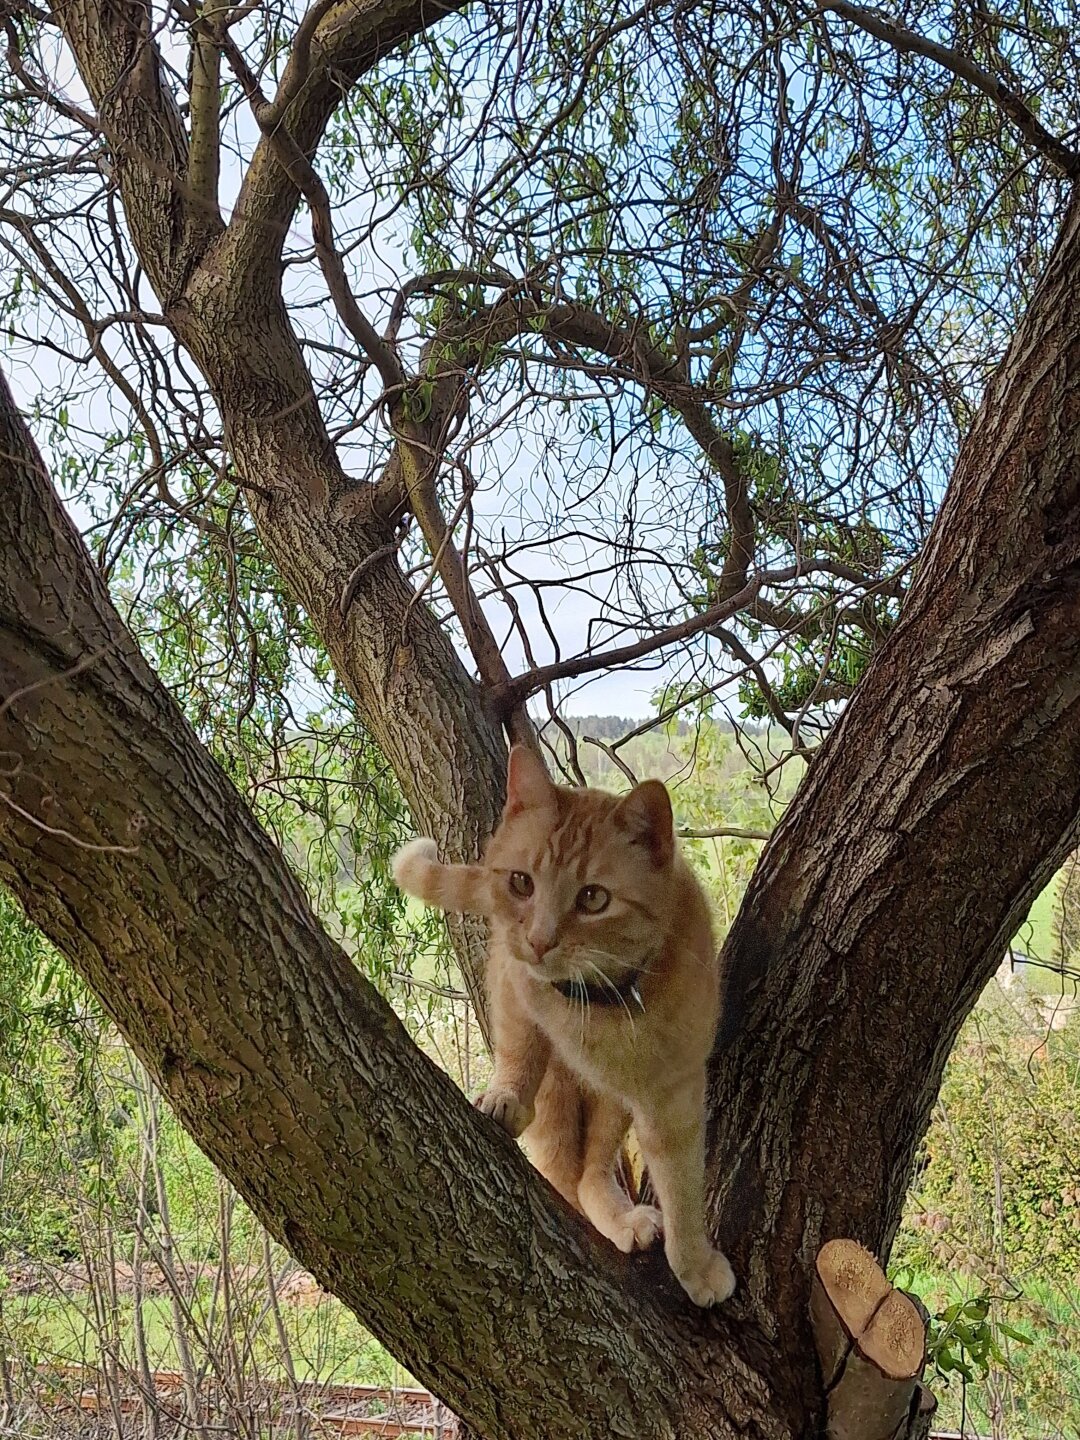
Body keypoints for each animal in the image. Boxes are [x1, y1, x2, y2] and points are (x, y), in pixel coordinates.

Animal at [388, 743, 737, 1307]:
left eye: (594, 898)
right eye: (521, 882)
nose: (539, 940)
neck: (600, 1003)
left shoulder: (673, 1097)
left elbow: (683, 1190)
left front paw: (694, 1266)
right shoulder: (513, 984)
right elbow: (519, 1048)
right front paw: (506, 1095)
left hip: (613, 1102)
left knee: (590, 1173)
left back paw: (622, 1219)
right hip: (557, 1096)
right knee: (565, 1173)